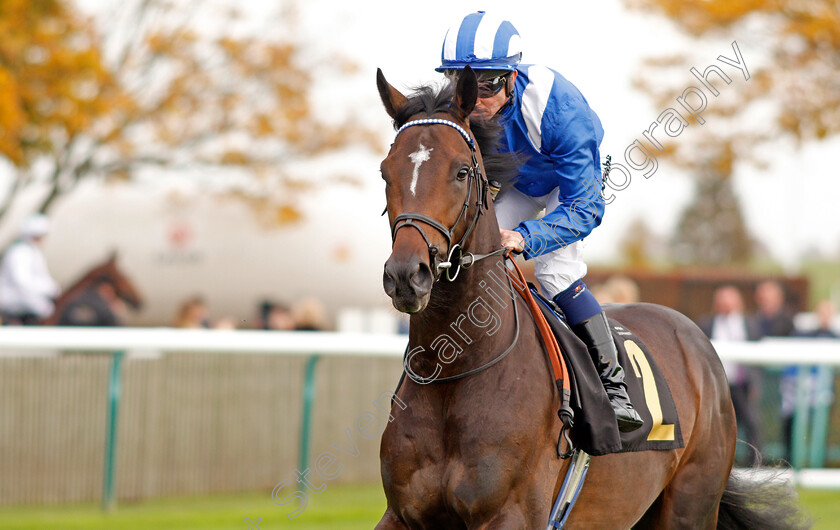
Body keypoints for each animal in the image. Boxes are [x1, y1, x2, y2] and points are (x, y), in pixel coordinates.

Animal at [374, 67, 808, 528]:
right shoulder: (400, 514)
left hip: (691, 504)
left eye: (460, 172)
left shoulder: (511, 514)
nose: (406, 274)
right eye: (386, 172)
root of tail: (695, 337)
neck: (454, 375)